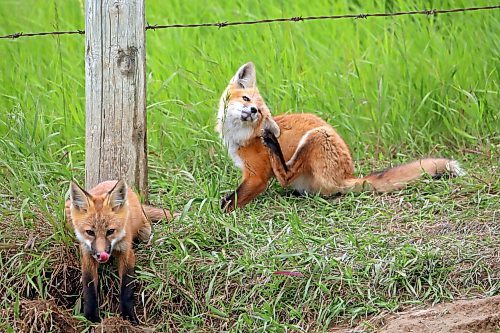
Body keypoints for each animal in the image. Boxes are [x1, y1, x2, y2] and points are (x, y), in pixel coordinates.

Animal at [66, 180, 173, 322]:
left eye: (110, 231)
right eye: (90, 232)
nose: (101, 255)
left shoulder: (127, 253)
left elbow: (126, 288)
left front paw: (128, 316)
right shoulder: (87, 254)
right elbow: (89, 288)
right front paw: (91, 316)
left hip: (145, 231)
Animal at [219, 62, 464, 211]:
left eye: (260, 113)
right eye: (246, 99)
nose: (252, 111)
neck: (240, 137)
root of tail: (347, 175)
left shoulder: (257, 176)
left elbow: (232, 200)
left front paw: (221, 212)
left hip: (317, 136)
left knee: (286, 175)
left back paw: (273, 145)